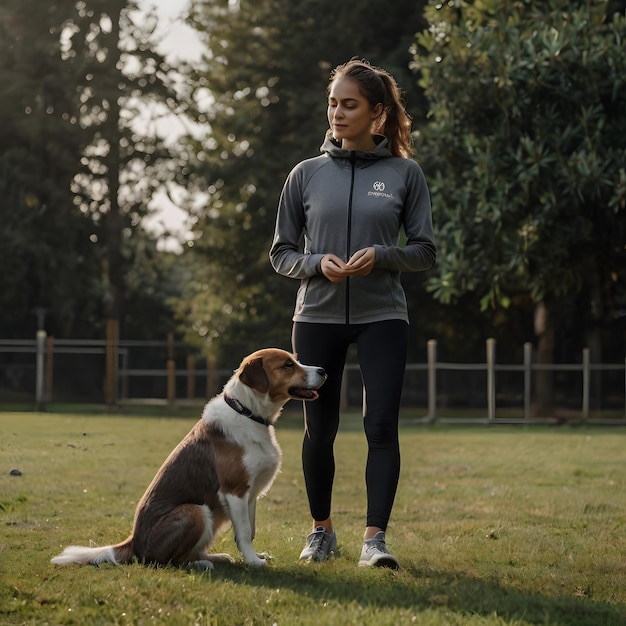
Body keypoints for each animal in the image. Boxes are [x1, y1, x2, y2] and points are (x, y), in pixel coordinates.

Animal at [50, 348, 324, 568]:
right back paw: (202, 564)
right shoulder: (235, 490)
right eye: (287, 365)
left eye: (296, 360)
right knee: (169, 561)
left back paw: (216, 557)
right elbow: (245, 531)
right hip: (196, 511)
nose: (323, 370)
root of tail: (133, 543)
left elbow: (250, 529)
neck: (247, 413)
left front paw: (253, 556)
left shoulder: (251, 494)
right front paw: (253, 561)